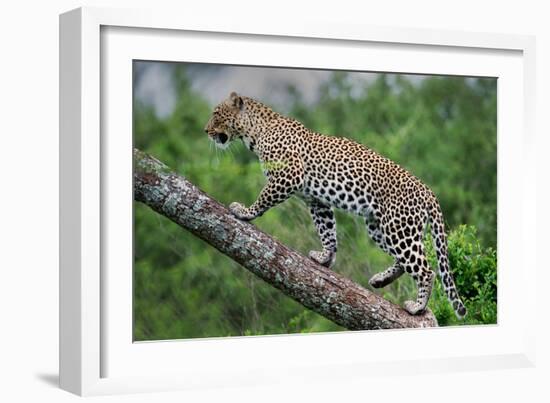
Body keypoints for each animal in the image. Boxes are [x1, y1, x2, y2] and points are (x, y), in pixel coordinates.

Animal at [205, 91, 468, 318]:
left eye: (216, 113)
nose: (205, 130)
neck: (255, 132)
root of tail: (428, 191)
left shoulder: (289, 175)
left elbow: (263, 198)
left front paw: (244, 212)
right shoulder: (317, 201)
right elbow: (327, 231)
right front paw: (325, 258)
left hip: (398, 228)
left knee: (426, 270)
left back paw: (418, 307)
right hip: (380, 227)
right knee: (404, 262)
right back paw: (380, 280)